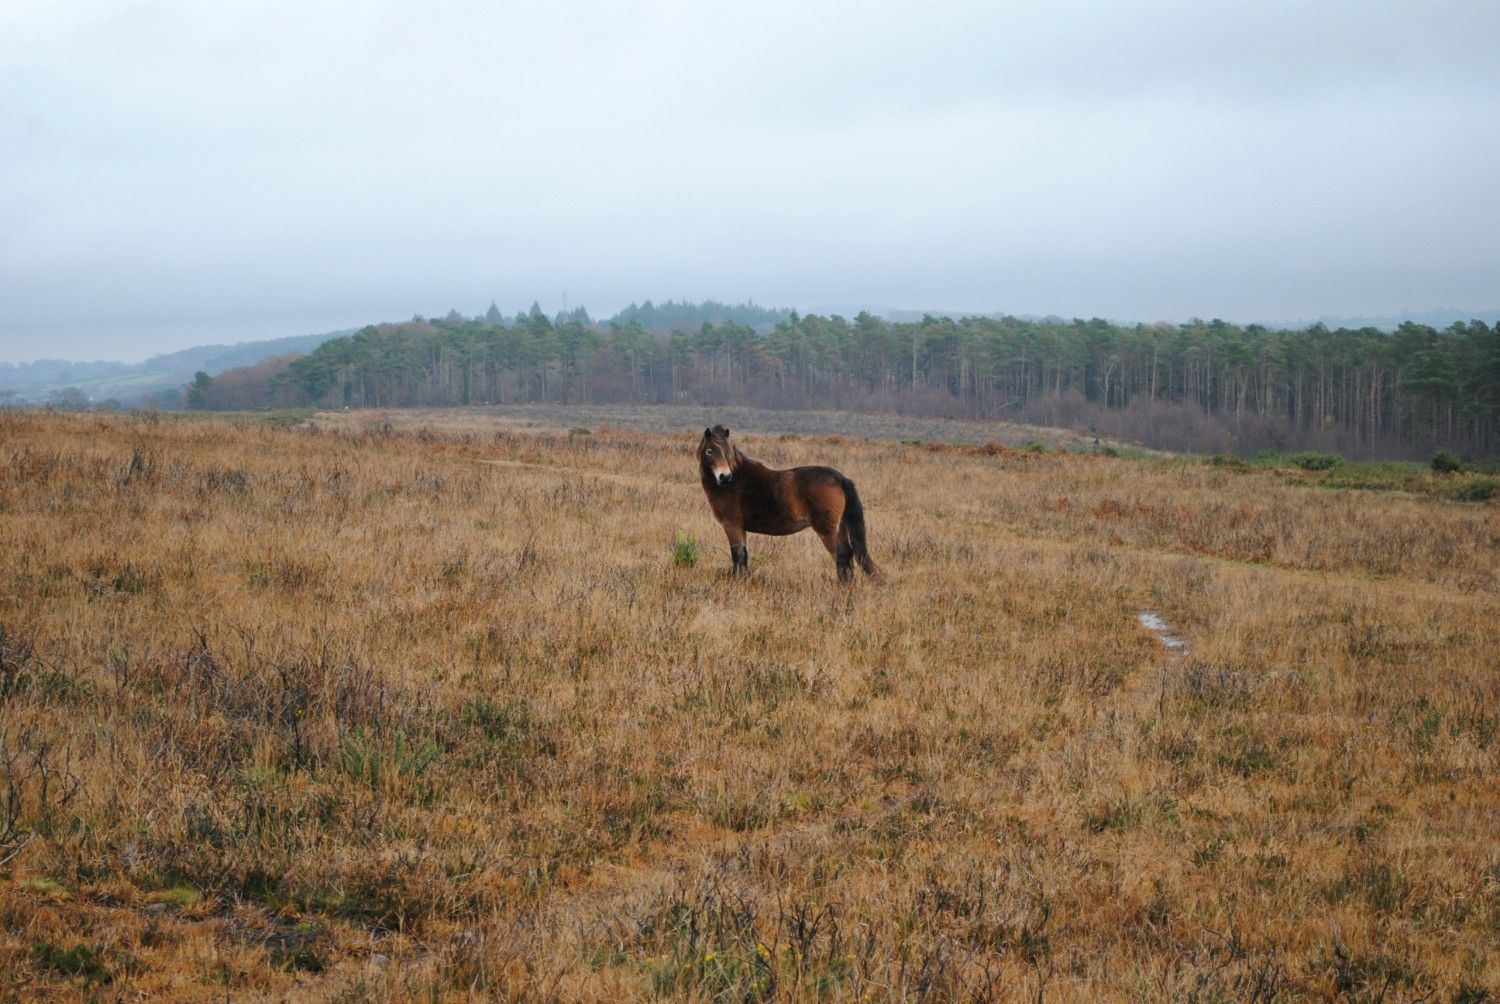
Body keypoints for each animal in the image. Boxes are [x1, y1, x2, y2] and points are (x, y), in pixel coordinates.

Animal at [693, 423, 876, 579]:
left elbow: (737, 556)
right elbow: (744, 557)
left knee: (841, 556)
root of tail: (840, 478)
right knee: (848, 555)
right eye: (709, 451)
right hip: (840, 528)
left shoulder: (732, 525)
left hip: (827, 530)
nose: (724, 477)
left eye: (727, 451)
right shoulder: (741, 528)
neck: (735, 481)